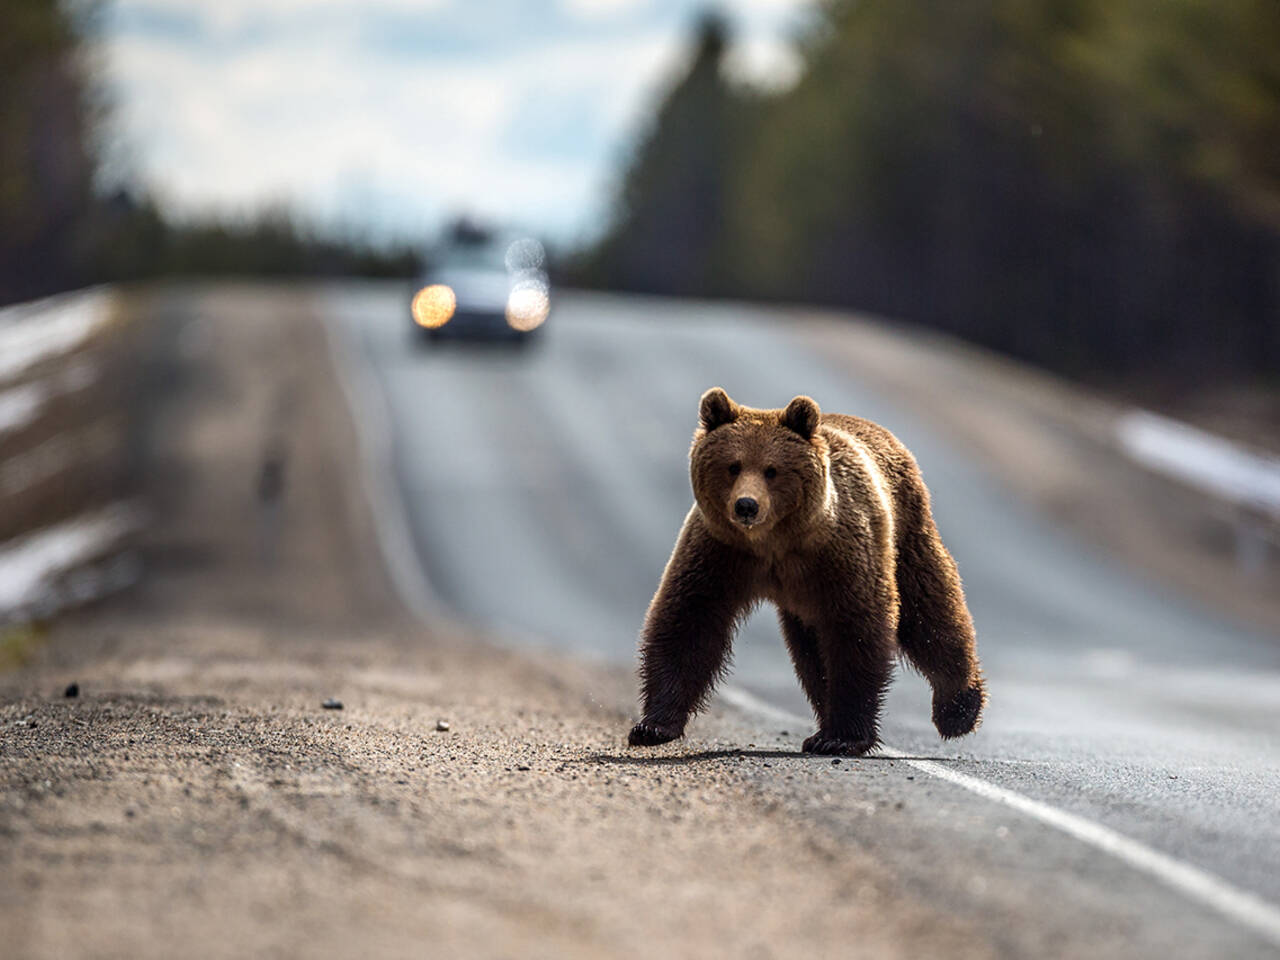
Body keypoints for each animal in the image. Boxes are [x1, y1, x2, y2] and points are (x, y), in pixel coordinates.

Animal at [629, 386, 988, 757]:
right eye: (733, 466)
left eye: (772, 470)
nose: (746, 506)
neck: (775, 542)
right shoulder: (721, 551)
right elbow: (689, 619)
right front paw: (652, 726)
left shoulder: (840, 554)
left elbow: (857, 630)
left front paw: (844, 736)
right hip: (805, 601)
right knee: (811, 652)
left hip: (905, 532)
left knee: (930, 611)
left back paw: (958, 709)